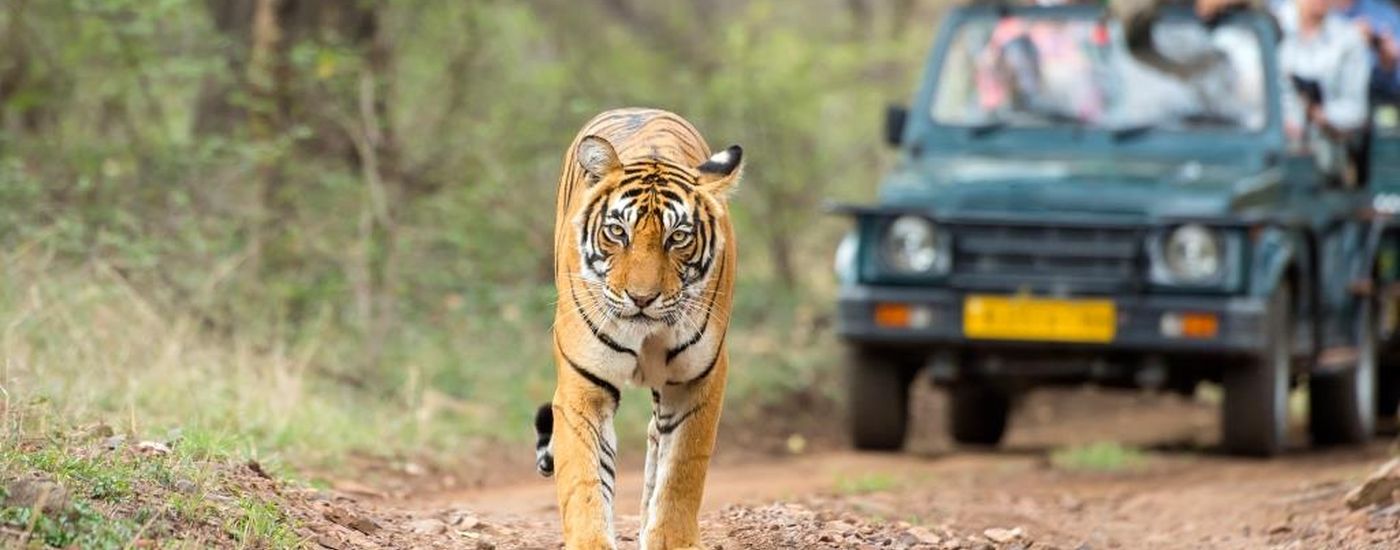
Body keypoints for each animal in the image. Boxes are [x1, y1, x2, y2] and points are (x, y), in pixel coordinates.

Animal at [533, 107, 742, 550]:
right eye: (617, 232)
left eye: (677, 237)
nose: (641, 298)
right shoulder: (583, 387)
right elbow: (585, 480)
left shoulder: (698, 381)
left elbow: (681, 470)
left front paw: (670, 539)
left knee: (656, 438)